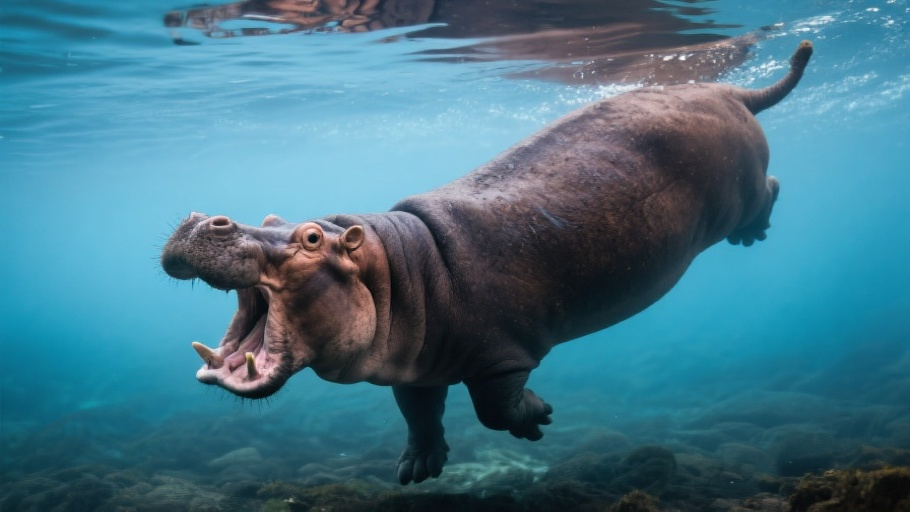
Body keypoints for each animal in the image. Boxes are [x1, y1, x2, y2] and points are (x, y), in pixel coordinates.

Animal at [161, 41, 813, 484]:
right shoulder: (414, 367)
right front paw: (418, 467)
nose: (204, 218)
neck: (399, 268)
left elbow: (495, 410)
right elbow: (418, 414)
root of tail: (729, 91)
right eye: (270, 217)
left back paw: (755, 234)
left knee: (772, 188)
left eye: (311, 237)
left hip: (739, 194)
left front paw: (538, 418)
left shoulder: (502, 357)